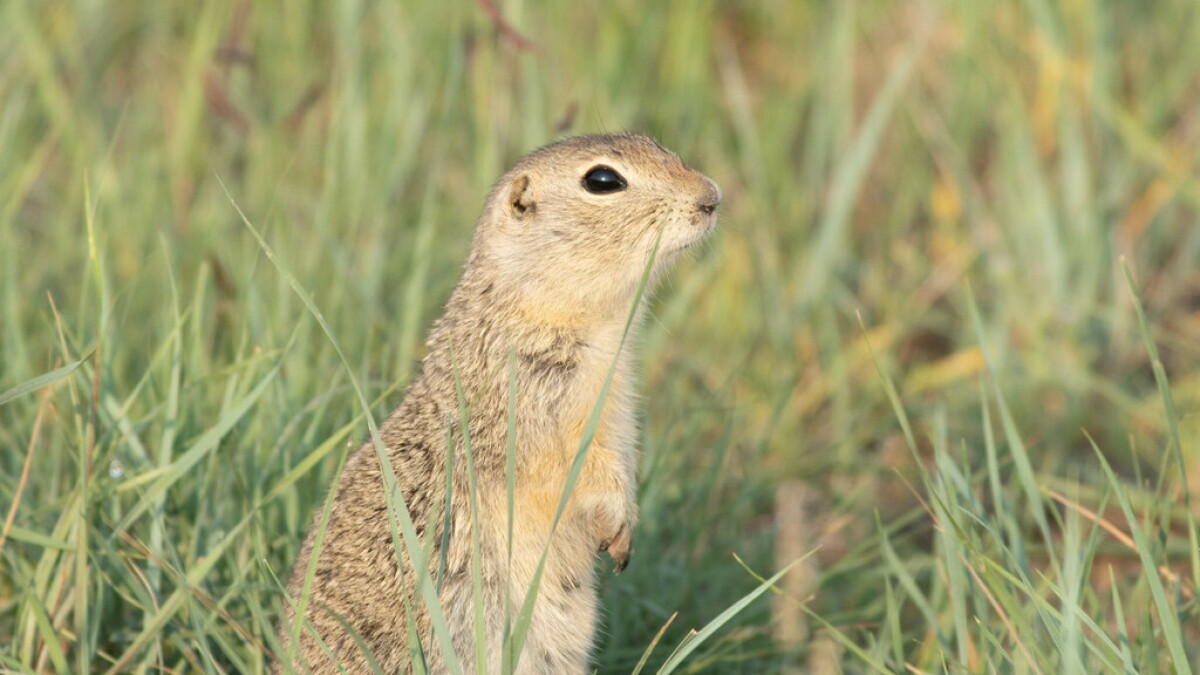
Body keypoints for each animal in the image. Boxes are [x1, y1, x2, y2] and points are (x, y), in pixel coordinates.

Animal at [275, 133, 721, 674]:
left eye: (655, 142)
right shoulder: (530, 402)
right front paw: (617, 526)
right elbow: (578, 469)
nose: (712, 197)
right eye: (603, 180)